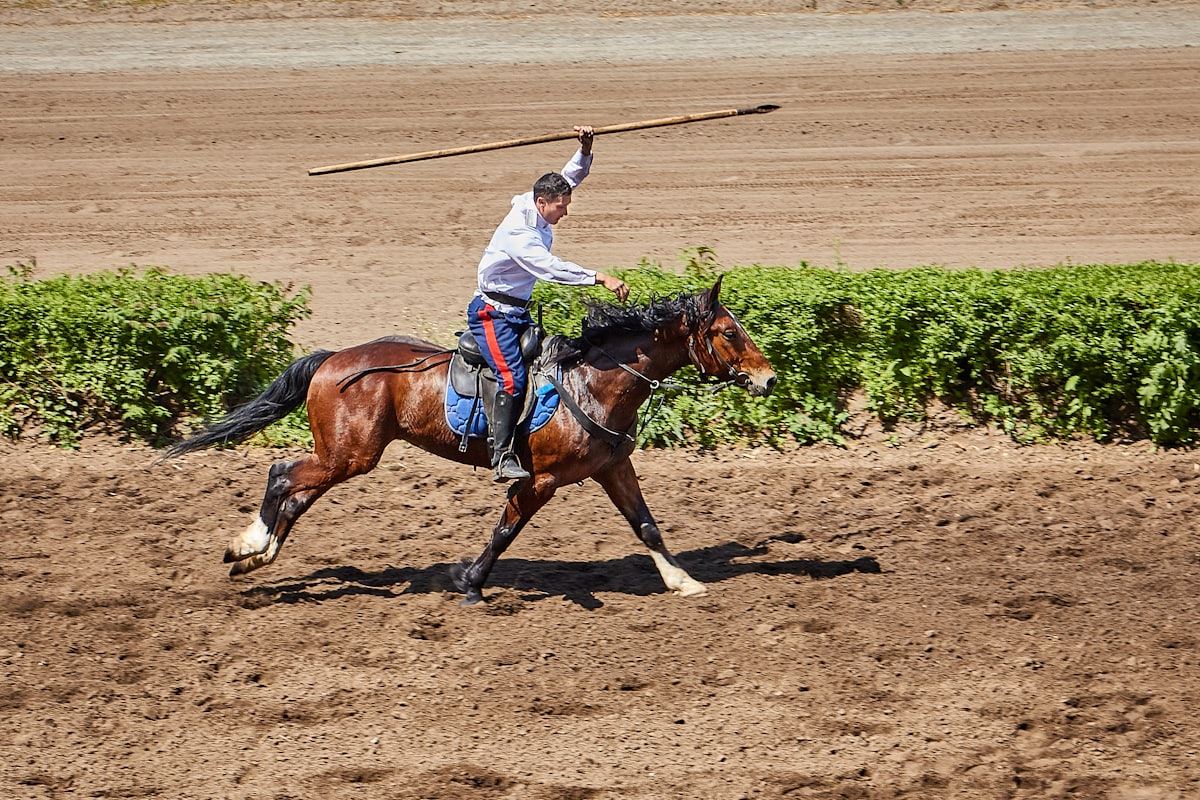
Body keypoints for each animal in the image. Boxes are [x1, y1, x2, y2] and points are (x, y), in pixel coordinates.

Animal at [165, 277, 776, 605]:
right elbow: (504, 533)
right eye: (728, 332)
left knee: (295, 493)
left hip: (342, 456)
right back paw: (249, 546)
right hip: (350, 455)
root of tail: (332, 358)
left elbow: (646, 524)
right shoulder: (539, 481)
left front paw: (682, 580)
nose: (768, 379)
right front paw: (470, 582)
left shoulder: (612, 468)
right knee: (281, 476)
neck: (593, 380)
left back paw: (255, 556)